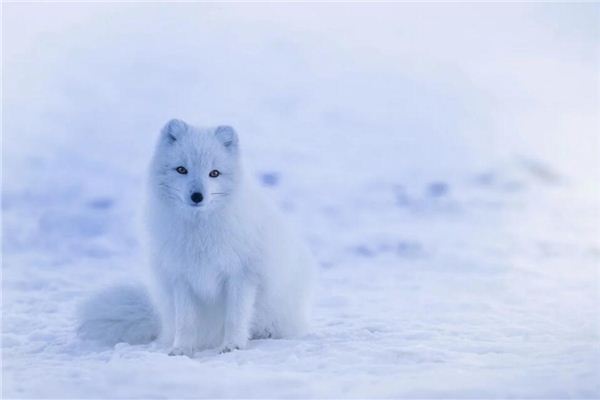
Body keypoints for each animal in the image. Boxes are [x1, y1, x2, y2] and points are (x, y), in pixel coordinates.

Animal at [77, 119, 316, 356]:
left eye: (214, 173)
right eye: (182, 169)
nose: (197, 196)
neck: (199, 232)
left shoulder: (242, 275)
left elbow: (235, 317)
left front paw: (233, 345)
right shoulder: (181, 277)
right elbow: (186, 321)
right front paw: (181, 349)